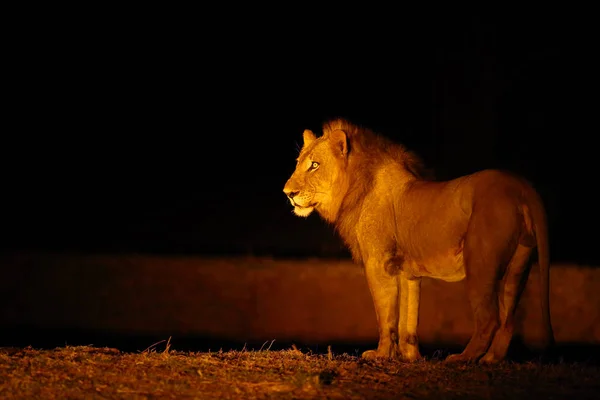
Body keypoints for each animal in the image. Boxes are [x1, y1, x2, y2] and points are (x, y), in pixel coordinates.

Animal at [284, 117, 556, 364]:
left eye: (315, 165)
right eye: (299, 164)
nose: (288, 193)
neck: (355, 187)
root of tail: (521, 185)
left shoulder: (378, 264)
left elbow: (386, 317)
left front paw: (381, 355)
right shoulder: (407, 273)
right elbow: (409, 318)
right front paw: (411, 357)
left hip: (480, 263)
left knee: (489, 319)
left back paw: (462, 358)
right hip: (518, 264)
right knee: (508, 319)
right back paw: (491, 360)